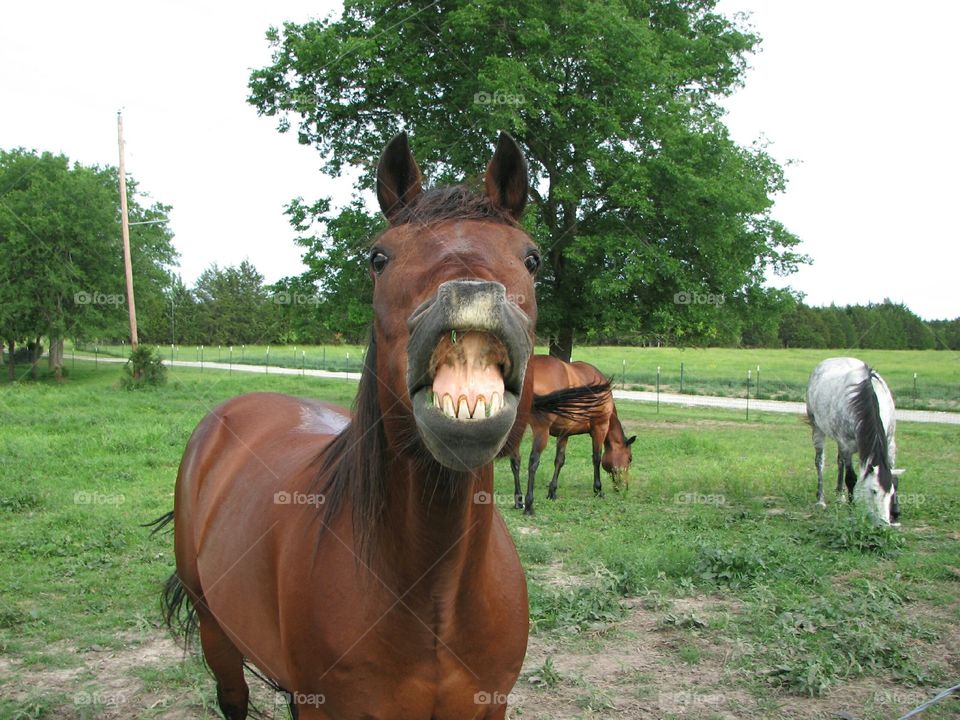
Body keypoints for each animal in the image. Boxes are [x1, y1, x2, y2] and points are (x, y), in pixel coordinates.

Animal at [160, 132, 544, 716]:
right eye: (378, 257)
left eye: (532, 258)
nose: (471, 295)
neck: (435, 596)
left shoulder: (489, 704)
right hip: (215, 633)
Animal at [510, 356, 636, 516]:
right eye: (629, 458)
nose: (624, 486)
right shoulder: (599, 428)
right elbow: (596, 458)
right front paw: (598, 489)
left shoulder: (564, 434)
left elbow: (559, 461)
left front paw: (552, 492)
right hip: (541, 430)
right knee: (533, 461)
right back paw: (529, 505)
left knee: (515, 460)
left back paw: (518, 501)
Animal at [808, 358, 904, 524]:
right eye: (873, 491)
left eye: (890, 492)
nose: (883, 523)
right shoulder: (846, 444)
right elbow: (851, 478)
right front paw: (851, 511)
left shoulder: (890, 443)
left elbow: (894, 477)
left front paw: (896, 511)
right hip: (818, 429)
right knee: (820, 462)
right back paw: (821, 500)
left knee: (839, 462)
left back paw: (840, 496)